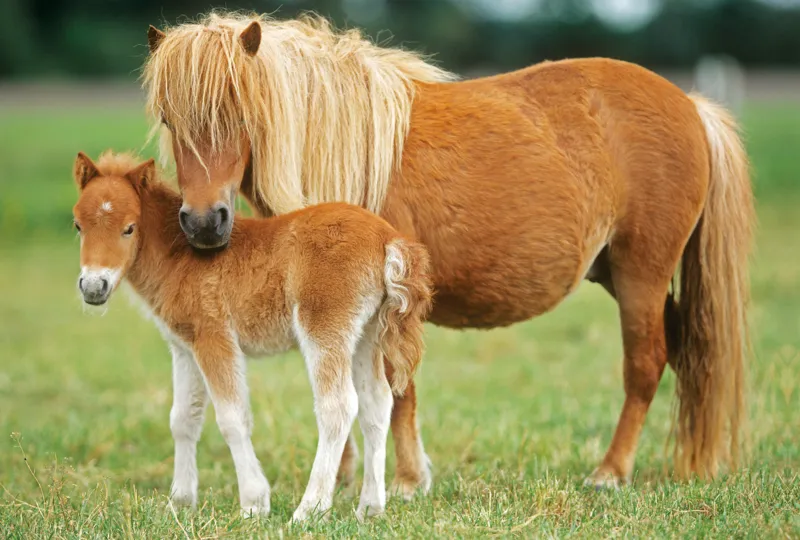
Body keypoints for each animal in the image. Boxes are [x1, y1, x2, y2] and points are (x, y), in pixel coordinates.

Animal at [71, 151, 432, 521]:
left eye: (129, 228)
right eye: (78, 225)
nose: (94, 287)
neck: (180, 256)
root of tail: (387, 238)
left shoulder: (214, 337)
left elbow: (232, 418)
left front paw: (254, 503)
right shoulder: (184, 346)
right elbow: (183, 419)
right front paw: (179, 502)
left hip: (324, 326)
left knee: (338, 406)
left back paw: (309, 510)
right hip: (366, 334)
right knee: (377, 403)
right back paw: (370, 508)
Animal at [142, 12, 754, 490]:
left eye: (240, 113)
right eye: (170, 119)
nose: (203, 223)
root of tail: (691, 105)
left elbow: (397, 391)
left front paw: (407, 481)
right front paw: (345, 476)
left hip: (640, 277)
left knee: (645, 365)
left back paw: (610, 472)